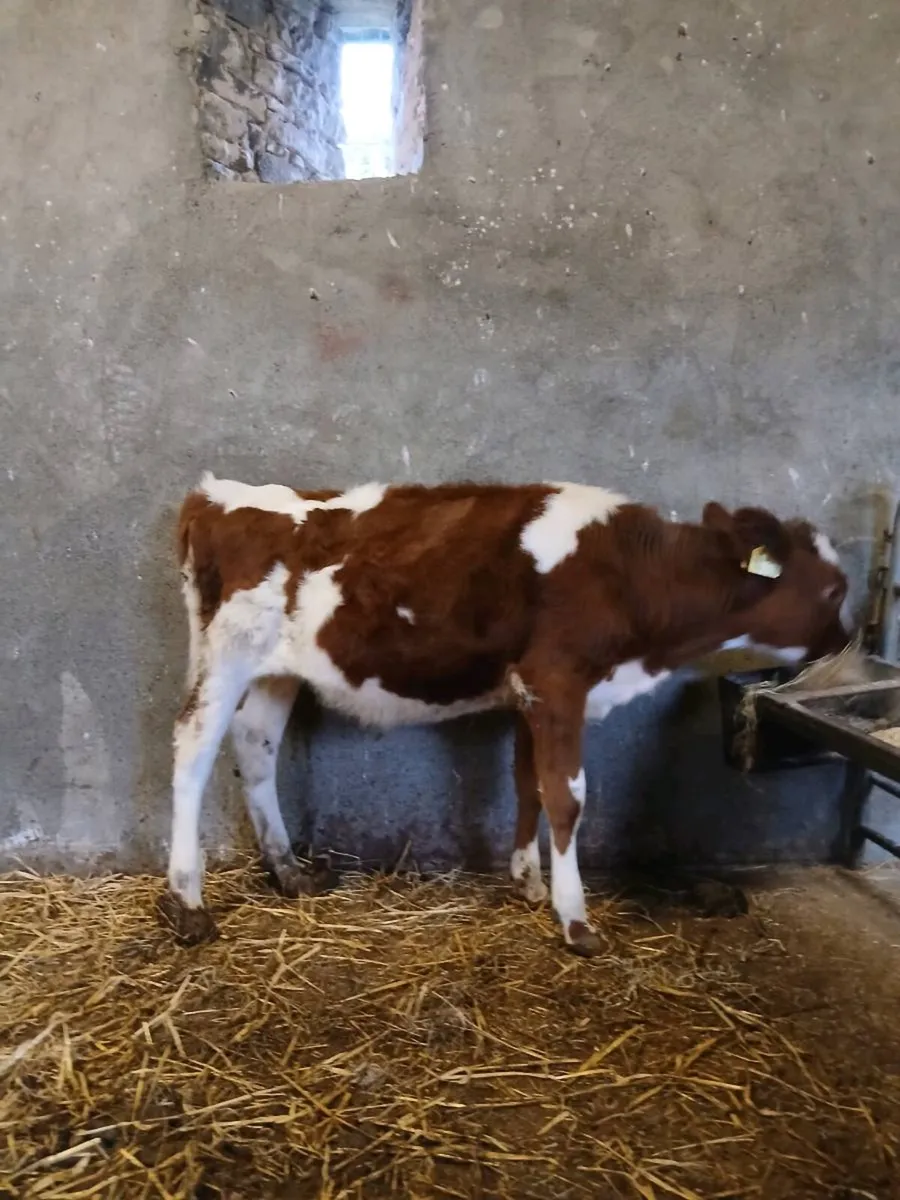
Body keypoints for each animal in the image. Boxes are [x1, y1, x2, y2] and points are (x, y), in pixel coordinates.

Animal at [158, 473, 851, 955]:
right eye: (834, 589)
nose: (846, 643)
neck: (630, 576)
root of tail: (215, 496)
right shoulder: (559, 680)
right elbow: (568, 796)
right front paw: (575, 918)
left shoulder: (528, 693)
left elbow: (529, 785)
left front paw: (528, 882)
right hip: (227, 655)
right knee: (193, 747)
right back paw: (189, 900)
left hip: (277, 668)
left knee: (255, 746)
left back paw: (288, 872)